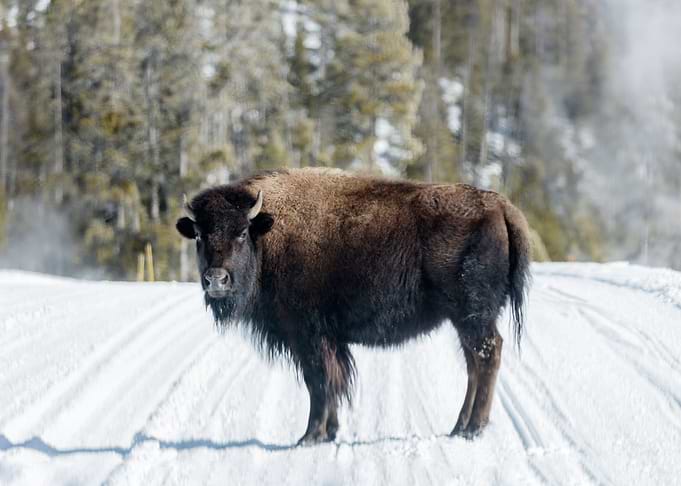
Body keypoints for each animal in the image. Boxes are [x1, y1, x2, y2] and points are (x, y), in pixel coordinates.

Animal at [176, 168, 531, 444]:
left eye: (241, 233)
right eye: (199, 235)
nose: (216, 280)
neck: (268, 234)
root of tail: (499, 205)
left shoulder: (309, 336)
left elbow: (319, 382)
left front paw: (310, 436)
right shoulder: (327, 341)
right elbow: (330, 382)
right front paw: (329, 432)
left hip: (472, 316)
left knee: (487, 356)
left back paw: (473, 429)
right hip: (464, 320)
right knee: (473, 364)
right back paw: (459, 427)